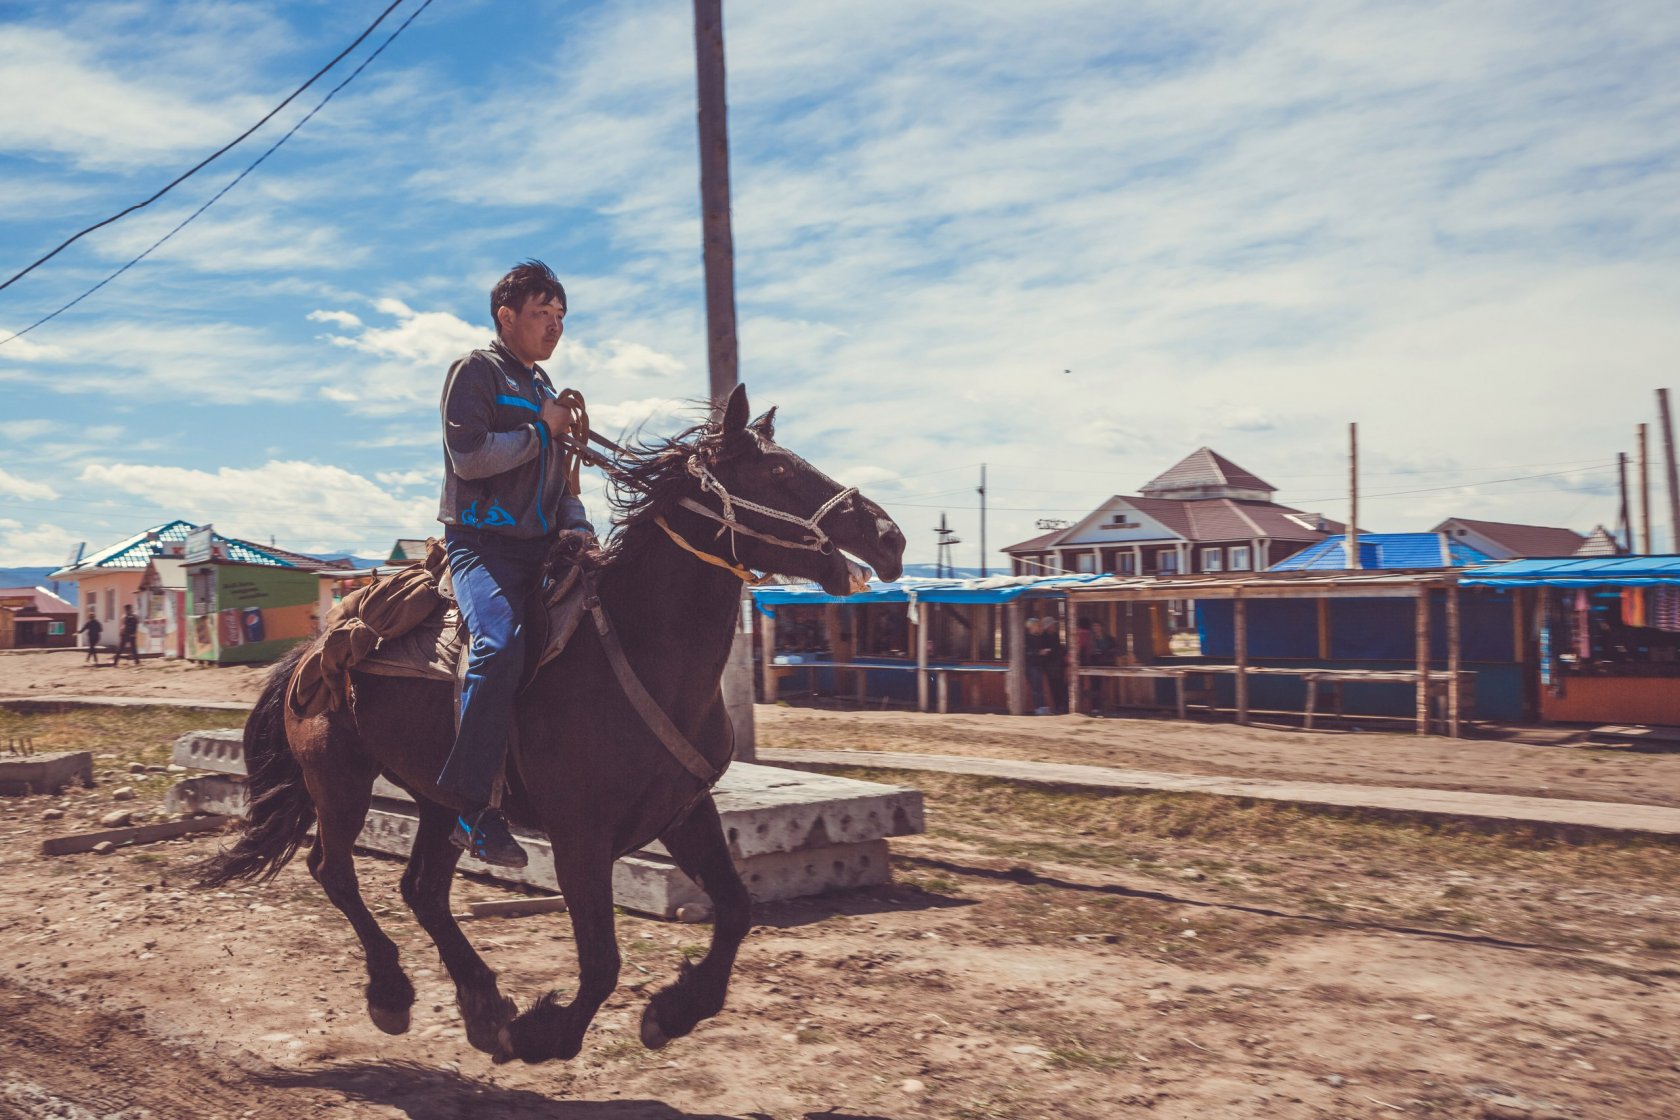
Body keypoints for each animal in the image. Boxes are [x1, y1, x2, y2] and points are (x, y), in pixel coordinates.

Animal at [199, 389, 907, 1067]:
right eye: (779, 471)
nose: (890, 536)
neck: (644, 652)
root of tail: (309, 652)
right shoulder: (579, 839)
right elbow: (602, 963)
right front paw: (544, 1035)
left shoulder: (685, 812)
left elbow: (736, 911)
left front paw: (673, 1011)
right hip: (339, 781)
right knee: (333, 870)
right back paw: (394, 994)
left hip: (443, 799)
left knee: (421, 889)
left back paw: (482, 1003)